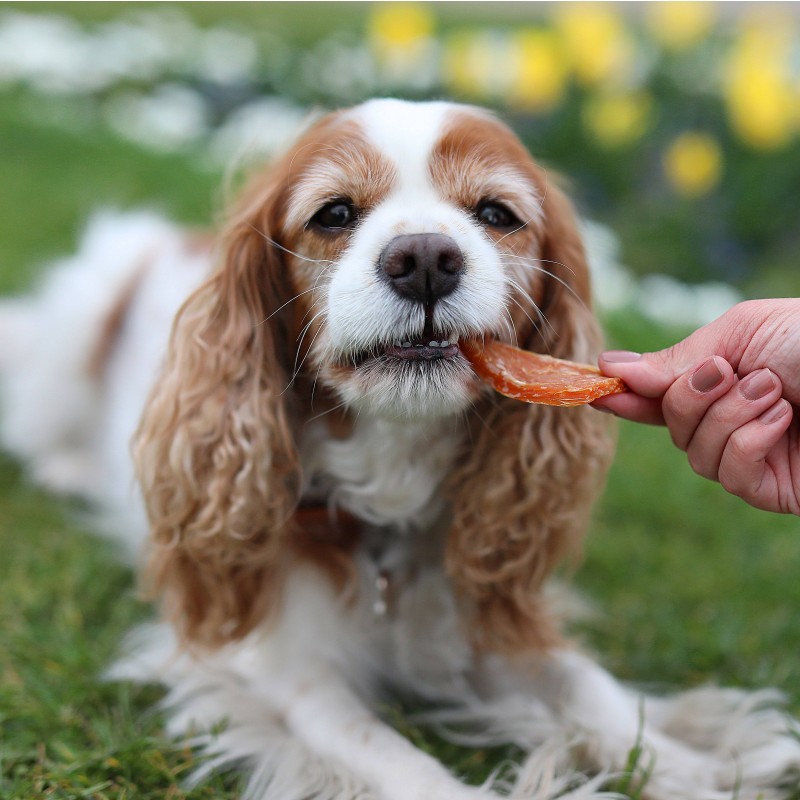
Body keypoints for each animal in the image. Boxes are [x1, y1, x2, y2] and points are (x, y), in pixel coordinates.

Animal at [1, 98, 800, 792]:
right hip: (81, 314)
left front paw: (699, 763)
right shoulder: (288, 679)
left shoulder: (484, 606)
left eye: (495, 214)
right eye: (334, 214)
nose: (423, 258)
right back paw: (68, 468)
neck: (392, 474)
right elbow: (404, 767)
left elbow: (585, 684)